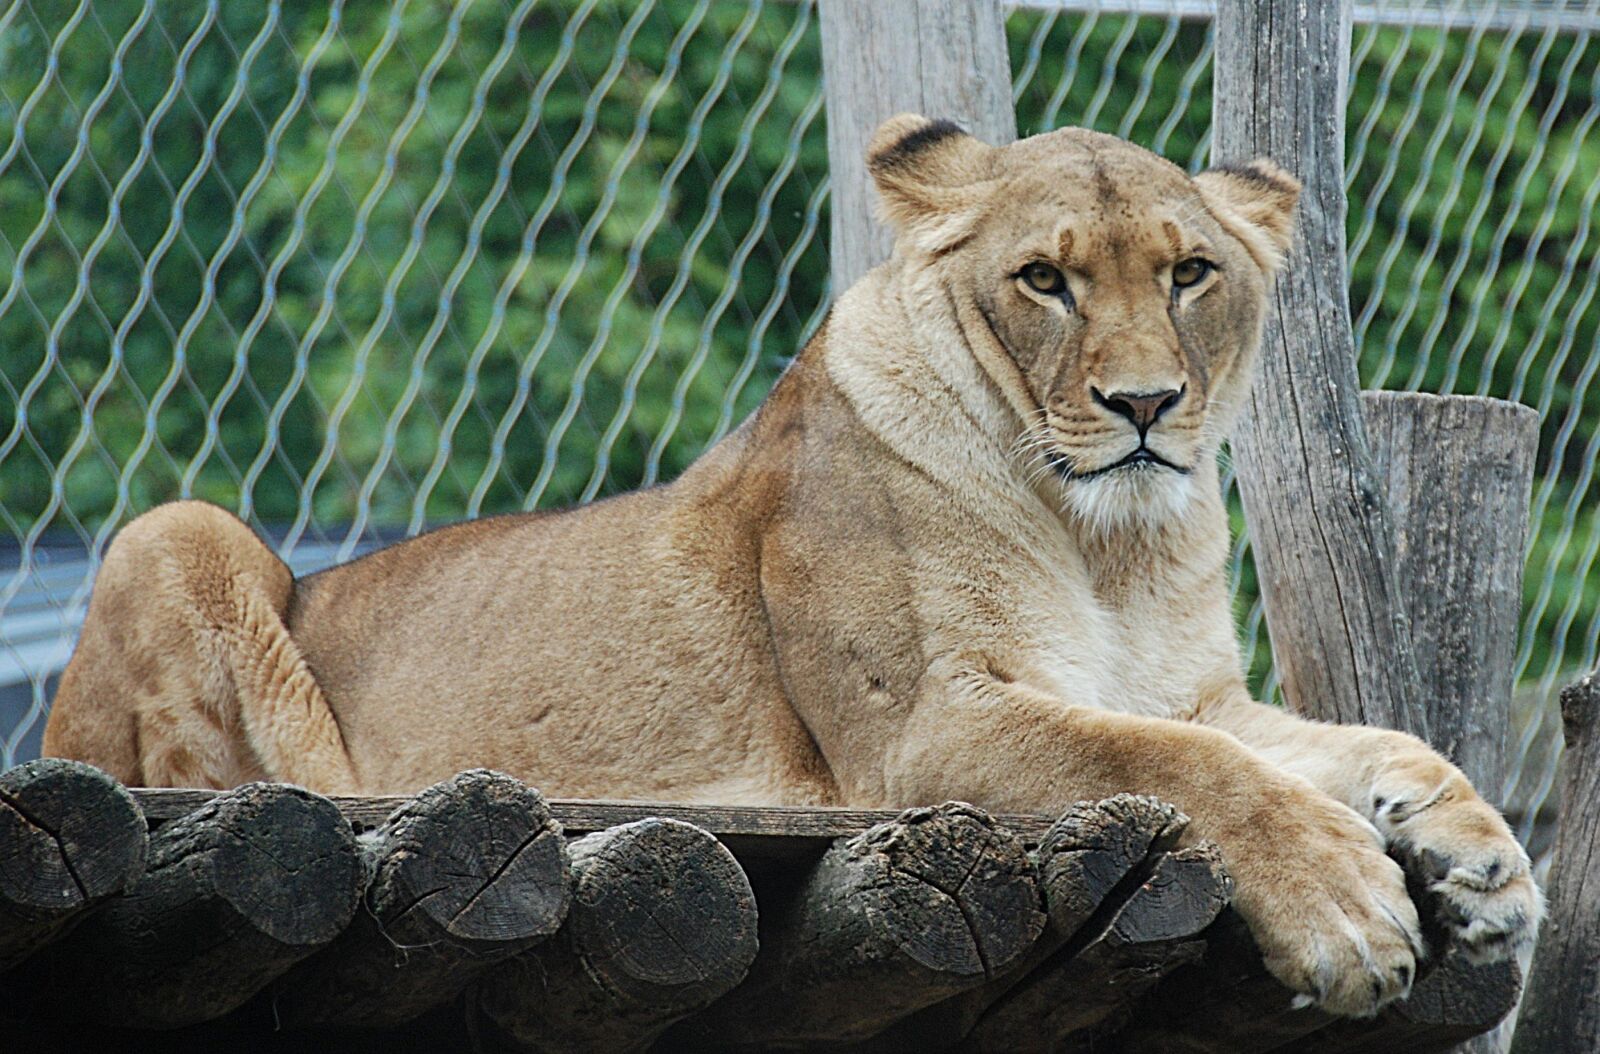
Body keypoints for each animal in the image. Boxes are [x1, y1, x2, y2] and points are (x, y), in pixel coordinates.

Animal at [43, 115, 1540, 1016]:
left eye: (1188, 274)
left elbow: (1362, 740)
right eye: (1044, 280)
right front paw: (1349, 911)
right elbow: (1185, 767)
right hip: (176, 528)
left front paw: (1483, 861)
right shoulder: (924, 732)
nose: (1144, 406)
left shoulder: (1196, 691)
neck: (1107, 541)